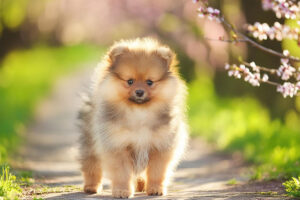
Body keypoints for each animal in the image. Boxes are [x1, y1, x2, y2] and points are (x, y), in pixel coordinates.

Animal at [78, 38, 189, 198]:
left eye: (149, 82)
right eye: (130, 81)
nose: (139, 92)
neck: (139, 113)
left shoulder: (160, 146)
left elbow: (156, 172)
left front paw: (155, 189)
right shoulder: (118, 146)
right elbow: (122, 173)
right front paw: (122, 191)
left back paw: (141, 186)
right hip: (89, 144)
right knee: (91, 166)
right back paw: (91, 186)